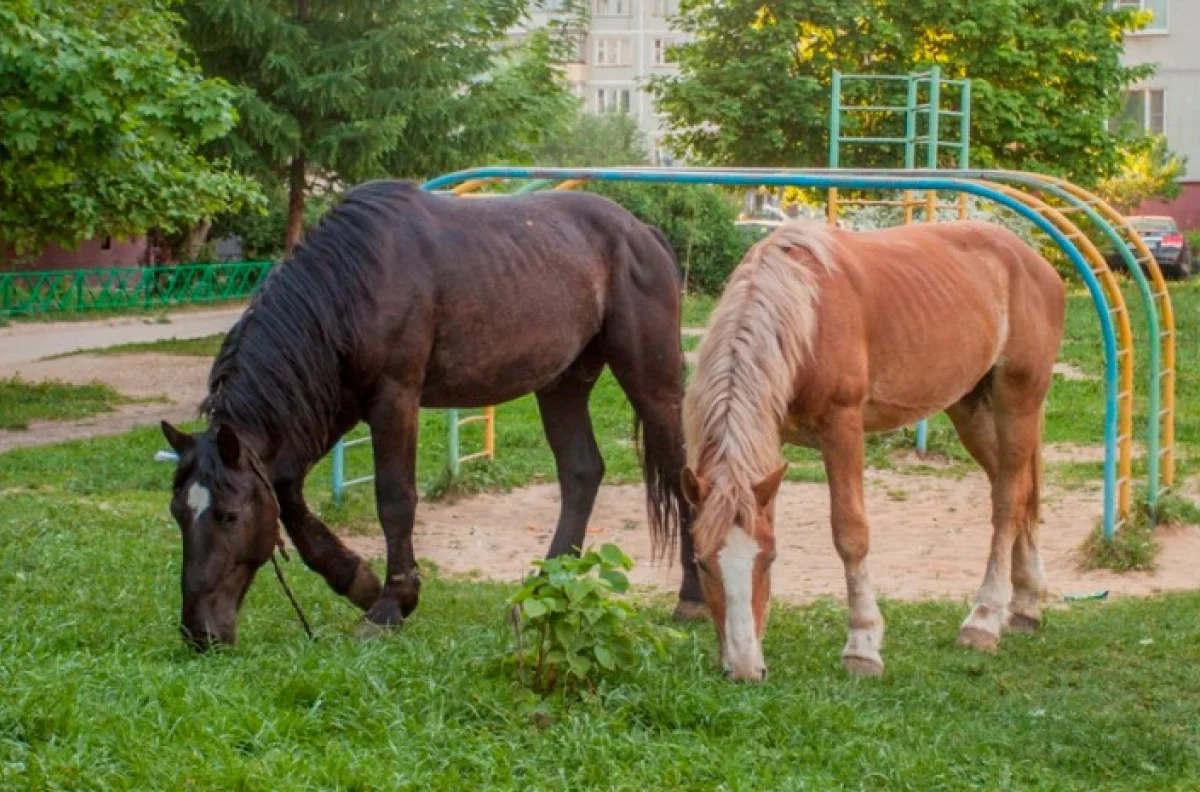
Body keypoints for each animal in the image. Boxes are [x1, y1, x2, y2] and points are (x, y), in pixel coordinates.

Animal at [160, 179, 704, 650]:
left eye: (229, 516)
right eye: (178, 513)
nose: (198, 632)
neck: (354, 282)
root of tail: (642, 234)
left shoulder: (393, 397)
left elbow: (394, 498)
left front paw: (390, 606)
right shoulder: (341, 403)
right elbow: (287, 490)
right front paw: (356, 580)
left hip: (651, 382)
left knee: (682, 477)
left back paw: (692, 599)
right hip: (563, 384)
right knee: (581, 472)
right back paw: (544, 591)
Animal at [680, 218, 1065, 682]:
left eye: (769, 560)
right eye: (702, 562)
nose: (741, 670)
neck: (802, 314)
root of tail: (1033, 260)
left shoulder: (842, 428)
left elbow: (850, 534)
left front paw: (862, 646)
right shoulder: (771, 443)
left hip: (1017, 400)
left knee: (1008, 501)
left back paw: (984, 620)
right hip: (969, 407)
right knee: (1021, 491)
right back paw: (1026, 605)